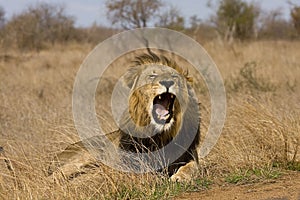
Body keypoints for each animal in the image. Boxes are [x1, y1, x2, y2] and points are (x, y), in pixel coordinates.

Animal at [48, 52, 200, 182]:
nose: (168, 82)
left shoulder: (189, 155)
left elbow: (192, 167)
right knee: (55, 176)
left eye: (174, 77)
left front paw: (180, 176)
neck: (160, 134)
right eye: (152, 76)